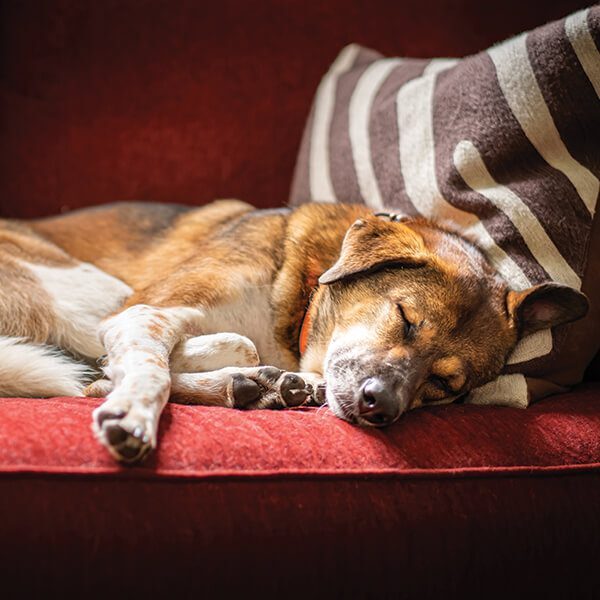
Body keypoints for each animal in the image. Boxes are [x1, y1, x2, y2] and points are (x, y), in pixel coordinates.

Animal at [0, 199, 588, 462]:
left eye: (445, 386)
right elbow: (157, 366)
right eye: (405, 318)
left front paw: (266, 380)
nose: (382, 407)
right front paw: (133, 413)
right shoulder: (139, 310)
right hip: (86, 290)